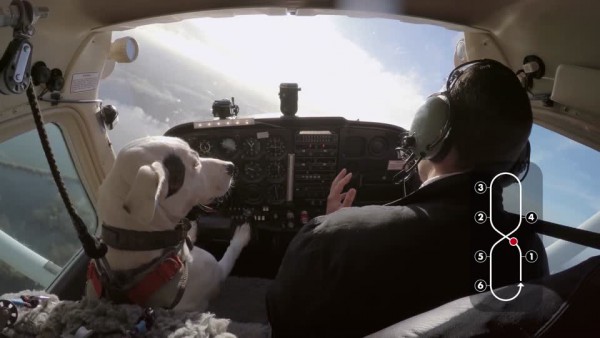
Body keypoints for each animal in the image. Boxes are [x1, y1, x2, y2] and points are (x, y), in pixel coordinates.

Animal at [85, 135, 250, 312]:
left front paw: (192, 229)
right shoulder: (217, 272)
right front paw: (242, 235)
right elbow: (232, 251)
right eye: (195, 164)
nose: (231, 166)